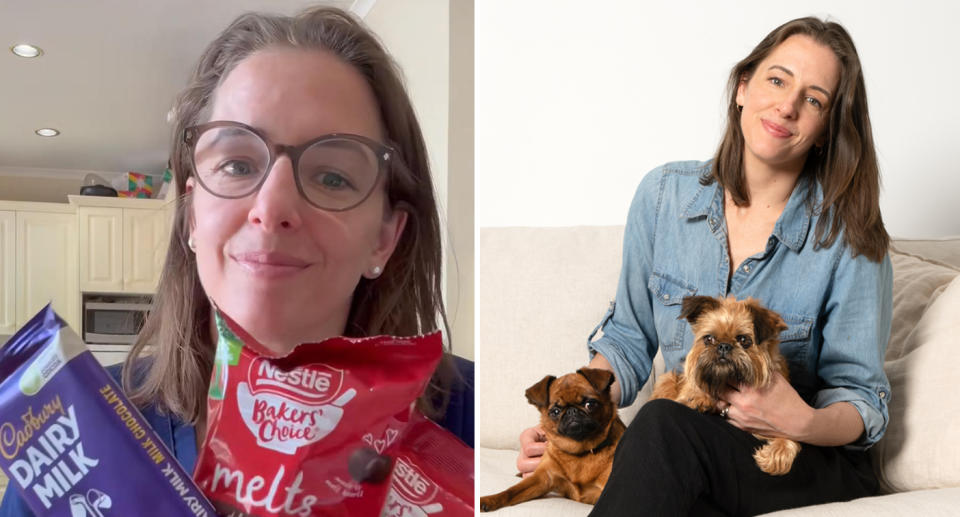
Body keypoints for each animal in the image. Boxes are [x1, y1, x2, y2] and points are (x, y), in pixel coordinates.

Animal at [478, 368, 628, 510]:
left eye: (590, 404)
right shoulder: (542, 478)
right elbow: (511, 491)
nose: (572, 411)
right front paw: (488, 500)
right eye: (555, 411)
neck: (579, 452)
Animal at [652, 294, 804, 476]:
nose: (723, 346)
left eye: (744, 340)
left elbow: (789, 437)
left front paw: (776, 455)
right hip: (667, 379)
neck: (726, 380)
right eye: (709, 339)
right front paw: (699, 398)